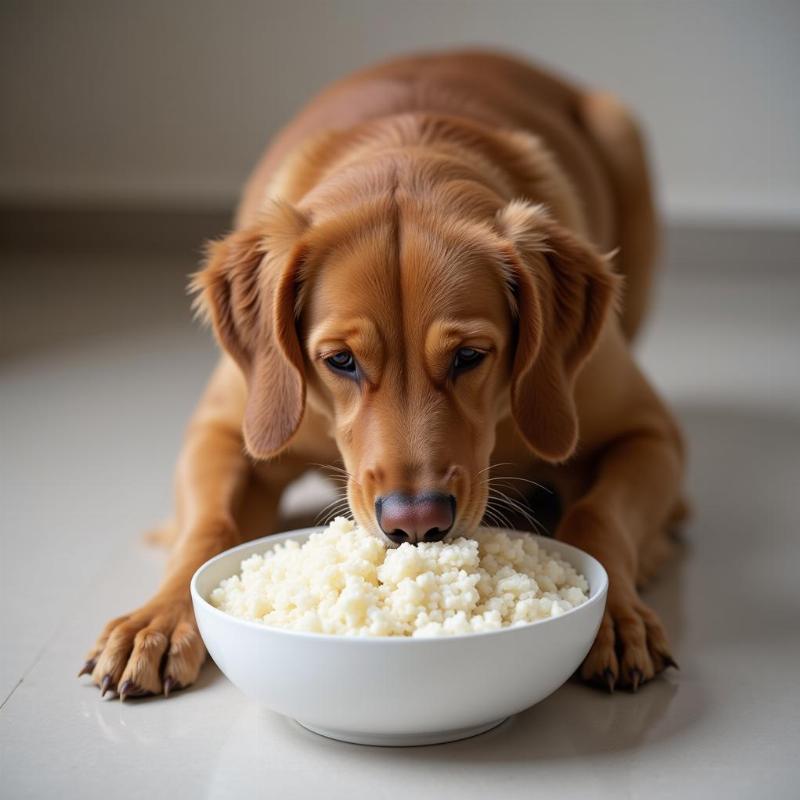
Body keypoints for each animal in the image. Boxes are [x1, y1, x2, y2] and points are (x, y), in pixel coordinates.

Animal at [84, 50, 692, 700]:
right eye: (340, 361)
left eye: (470, 356)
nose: (416, 523)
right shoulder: (225, 428)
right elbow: (209, 525)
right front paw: (158, 618)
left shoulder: (649, 433)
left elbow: (598, 514)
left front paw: (617, 614)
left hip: (620, 131)